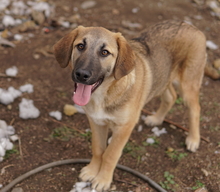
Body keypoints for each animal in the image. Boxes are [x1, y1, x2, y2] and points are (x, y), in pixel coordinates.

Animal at [53, 20, 217, 191]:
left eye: (104, 52)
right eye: (80, 46)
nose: (82, 75)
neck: (106, 93)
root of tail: (190, 25)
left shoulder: (125, 127)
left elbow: (110, 154)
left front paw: (103, 179)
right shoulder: (96, 122)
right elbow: (98, 149)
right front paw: (92, 170)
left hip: (188, 85)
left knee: (195, 109)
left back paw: (193, 139)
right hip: (163, 80)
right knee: (171, 97)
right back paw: (156, 119)